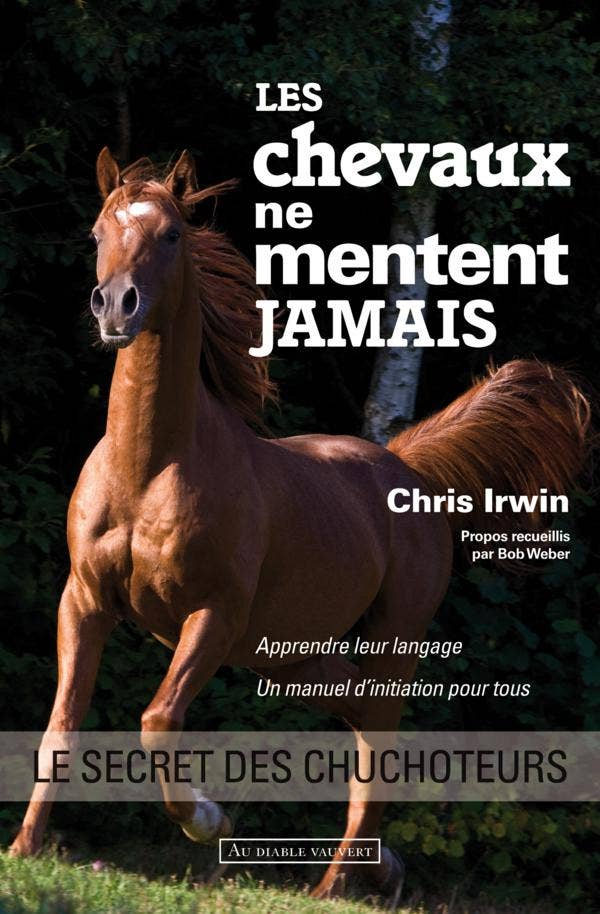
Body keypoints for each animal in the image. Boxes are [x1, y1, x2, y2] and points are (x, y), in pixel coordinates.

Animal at [9, 147, 590, 906]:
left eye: (171, 235)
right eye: (97, 232)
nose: (115, 306)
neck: (150, 467)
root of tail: (408, 469)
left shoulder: (214, 615)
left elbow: (158, 720)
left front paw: (209, 820)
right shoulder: (83, 601)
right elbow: (61, 728)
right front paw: (23, 850)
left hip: (387, 635)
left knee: (378, 739)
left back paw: (336, 882)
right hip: (287, 654)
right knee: (362, 713)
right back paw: (380, 869)